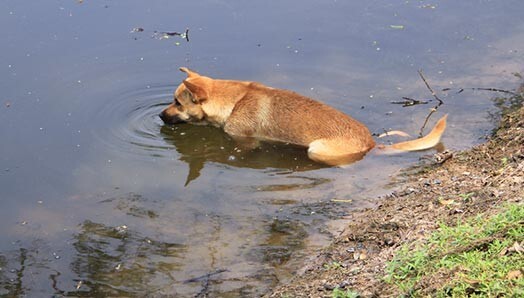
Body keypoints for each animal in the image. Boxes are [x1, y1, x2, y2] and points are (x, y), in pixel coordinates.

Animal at [160, 67, 446, 165]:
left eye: (177, 102)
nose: (161, 116)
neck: (234, 100)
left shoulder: (244, 142)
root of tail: (371, 143)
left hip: (316, 150)